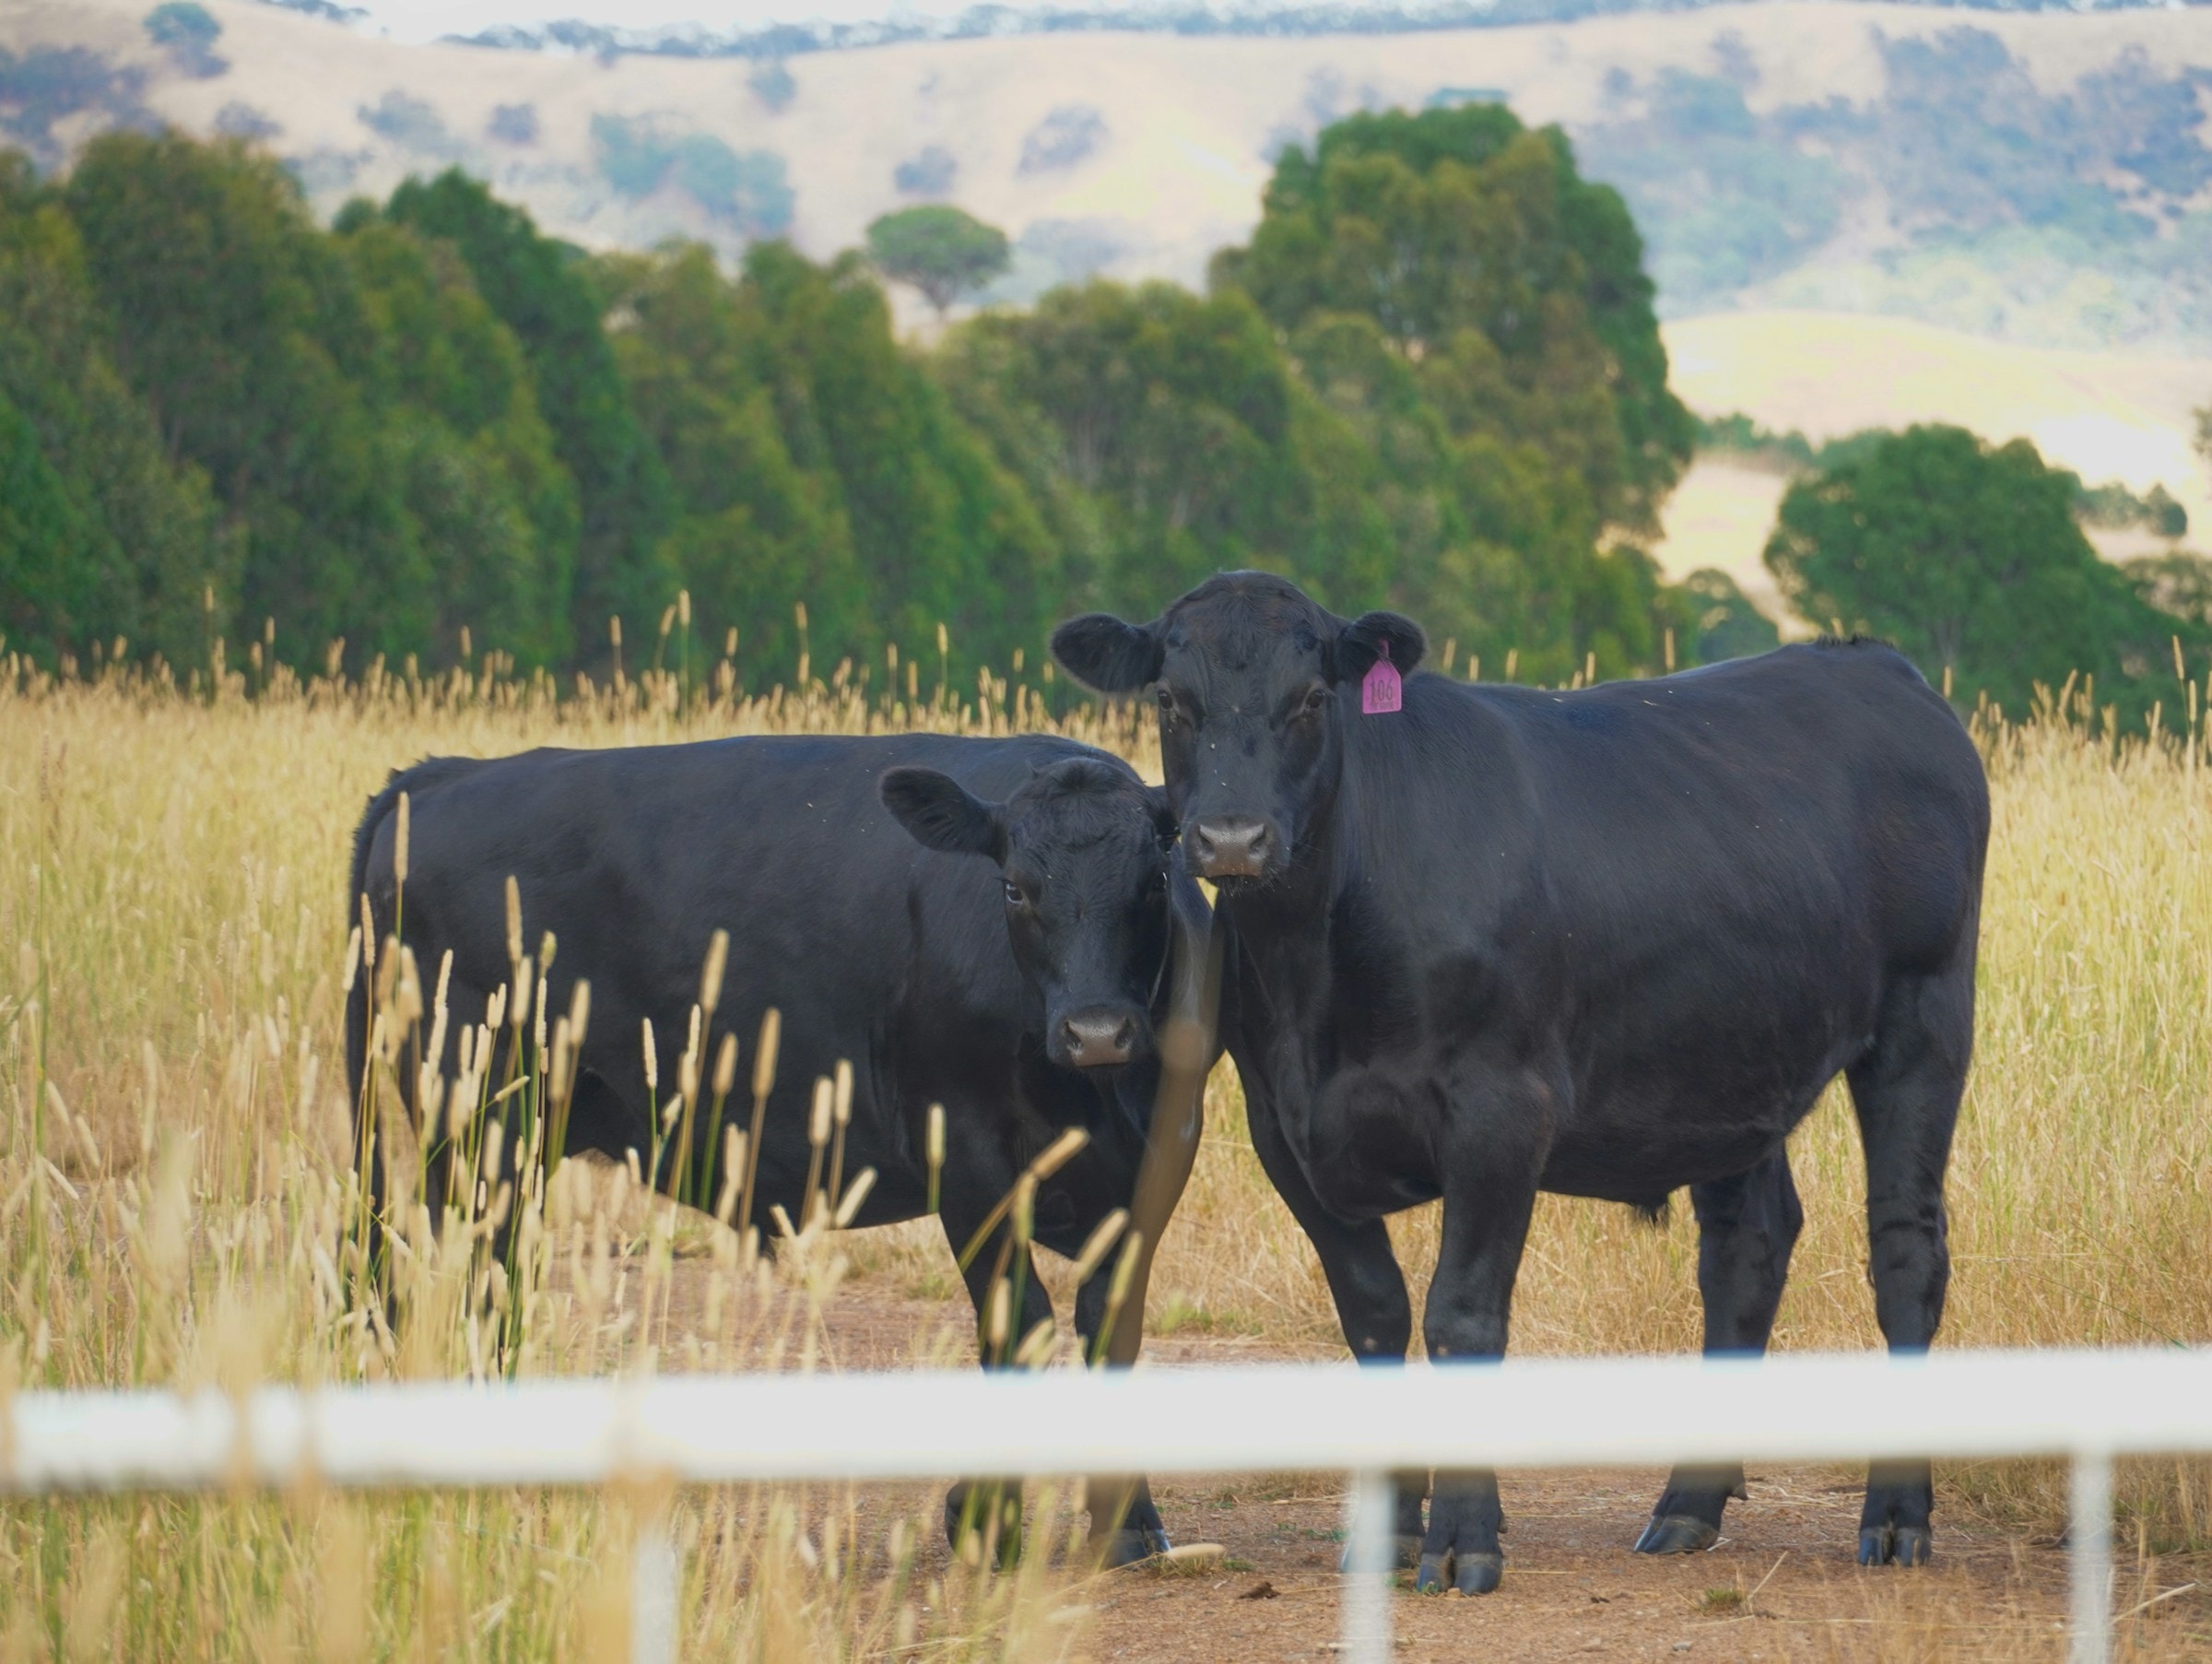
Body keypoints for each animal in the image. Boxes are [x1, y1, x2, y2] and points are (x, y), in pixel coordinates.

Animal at [344, 732, 1212, 1565]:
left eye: (1152, 882)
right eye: (1015, 889)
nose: (1097, 1030)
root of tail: (446, 773)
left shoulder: (1155, 1159)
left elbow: (1110, 1321)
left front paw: (1129, 1525)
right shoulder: (965, 1152)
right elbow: (1017, 1321)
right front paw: (984, 1520)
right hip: (477, 1118)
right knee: (476, 1277)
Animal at [1052, 571, 1989, 1594]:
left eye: (1310, 699)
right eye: (1171, 701)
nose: (1231, 838)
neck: (1318, 961)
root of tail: (1873, 661)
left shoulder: (1499, 1111)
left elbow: (1461, 1313)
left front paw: (1464, 1538)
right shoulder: (1285, 1128)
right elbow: (1374, 1313)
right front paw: (1391, 1532)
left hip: (1924, 1017)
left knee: (1906, 1248)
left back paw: (1895, 1516)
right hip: (1732, 1059)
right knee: (1746, 1250)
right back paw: (1687, 1505)